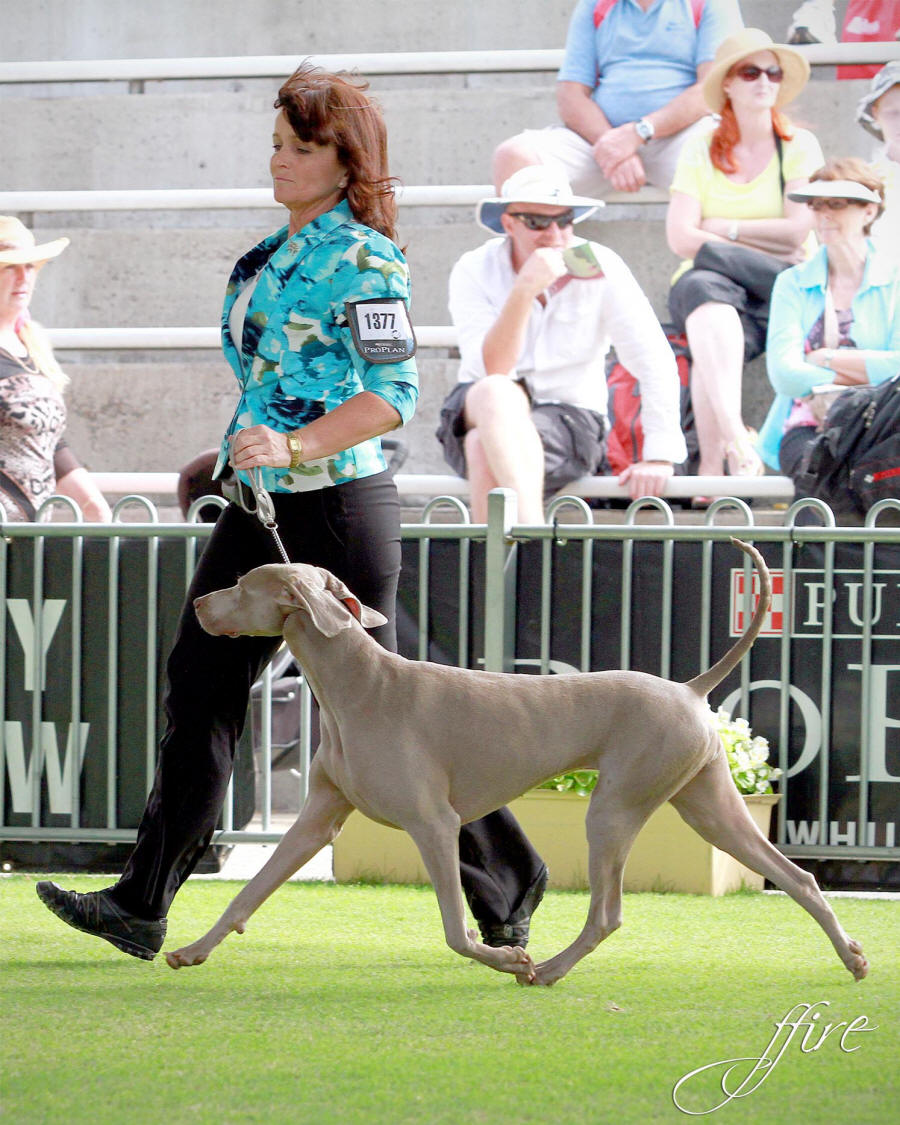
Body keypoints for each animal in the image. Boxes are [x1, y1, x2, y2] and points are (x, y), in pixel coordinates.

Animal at [165, 537, 868, 985]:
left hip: (615, 807)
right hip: (709, 805)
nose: (196, 603)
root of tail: (690, 690)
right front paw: (191, 950)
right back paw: (854, 957)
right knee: (799, 878)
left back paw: (548, 970)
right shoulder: (317, 820)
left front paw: (509, 960)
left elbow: (455, 930)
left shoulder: (434, 824)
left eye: (239, 585)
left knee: (608, 912)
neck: (356, 687)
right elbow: (247, 895)